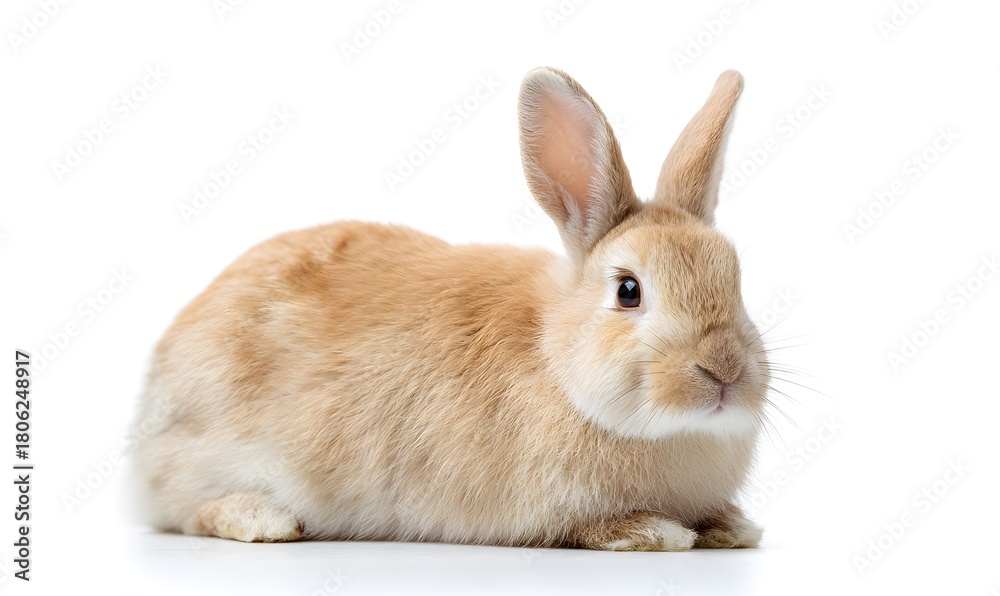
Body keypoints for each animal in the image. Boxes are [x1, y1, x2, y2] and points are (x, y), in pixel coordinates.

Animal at [131, 67, 769, 551]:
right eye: (628, 290)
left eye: (736, 278)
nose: (724, 371)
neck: (556, 361)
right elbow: (598, 526)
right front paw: (661, 532)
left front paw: (735, 528)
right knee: (188, 510)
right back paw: (266, 519)